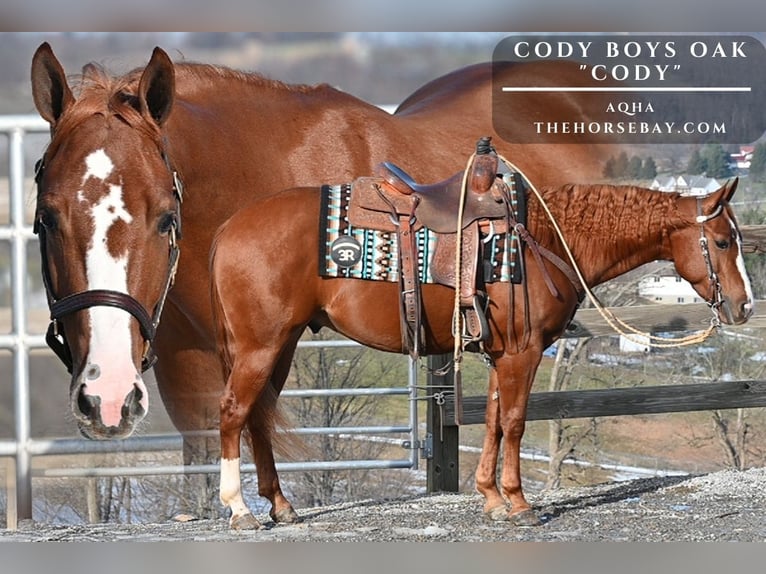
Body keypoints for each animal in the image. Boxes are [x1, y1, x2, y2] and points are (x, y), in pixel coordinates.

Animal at [209, 157, 753, 528]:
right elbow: (513, 422)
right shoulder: (524, 352)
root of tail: (228, 226)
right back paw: (239, 509)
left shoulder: (500, 355)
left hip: (281, 345)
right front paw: (519, 502)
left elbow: (491, 419)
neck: (542, 240)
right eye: (723, 242)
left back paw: (280, 505)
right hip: (261, 346)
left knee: (258, 416)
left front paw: (491, 497)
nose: (744, 306)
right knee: (235, 411)